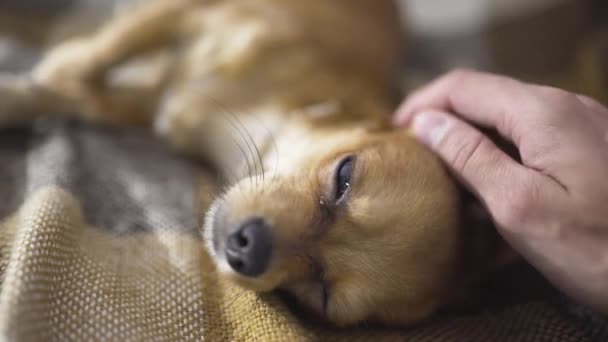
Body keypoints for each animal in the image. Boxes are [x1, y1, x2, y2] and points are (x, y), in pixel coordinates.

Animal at [0, 0, 516, 326]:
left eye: (322, 295)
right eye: (344, 176)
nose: (248, 248)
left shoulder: (146, 105)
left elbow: (71, 95)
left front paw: (18, 96)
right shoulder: (189, 12)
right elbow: (99, 54)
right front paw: (53, 66)